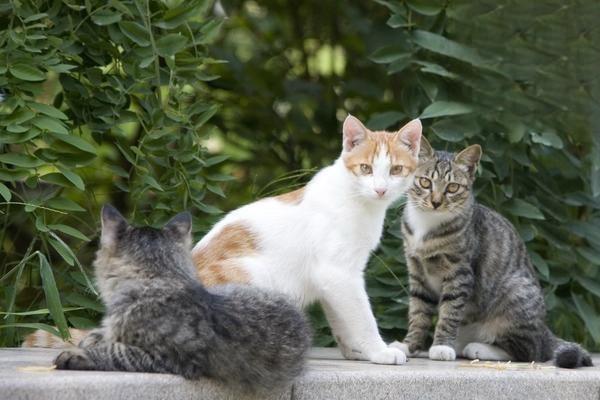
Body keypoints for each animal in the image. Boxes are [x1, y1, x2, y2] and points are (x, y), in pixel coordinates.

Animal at [22, 115, 422, 366]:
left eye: (395, 170)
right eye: (365, 168)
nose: (380, 188)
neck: (361, 204)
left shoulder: (335, 279)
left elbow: (342, 319)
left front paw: (357, 352)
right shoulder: (338, 273)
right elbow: (360, 315)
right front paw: (379, 350)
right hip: (253, 275)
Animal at [390, 138, 592, 368]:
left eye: (452, 187)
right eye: (425, 182)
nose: (436, 202)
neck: (427, 226)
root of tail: (544, 330)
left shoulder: (459, 273)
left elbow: (450, 312)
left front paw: (441, 346)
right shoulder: (417, 272)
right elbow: (418, 312)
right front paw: (409, 345)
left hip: (515, 295)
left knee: (528, 351)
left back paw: (478, 348)